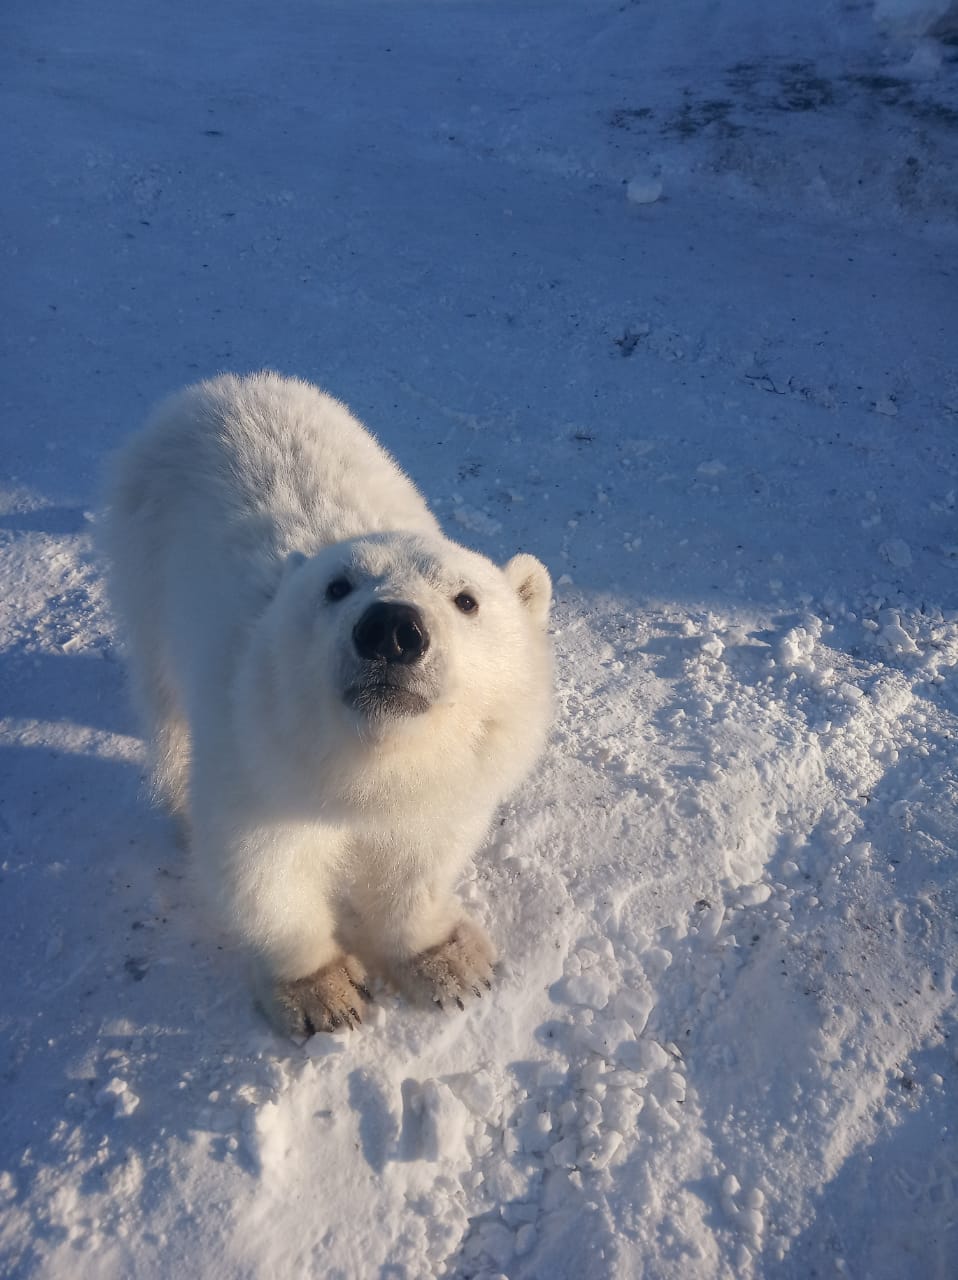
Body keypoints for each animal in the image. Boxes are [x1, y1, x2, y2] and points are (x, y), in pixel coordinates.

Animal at [101, 373, 550, 1034]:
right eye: (337, 586)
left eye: (466, 599)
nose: (392, 630)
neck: (362, 765)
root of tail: (220, 386)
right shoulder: (258, 761)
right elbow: (263, 872)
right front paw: (322, 994)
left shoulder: (444, 784)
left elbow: (419, 862)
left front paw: (451, 962)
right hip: (146, 565)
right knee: (165, 704)